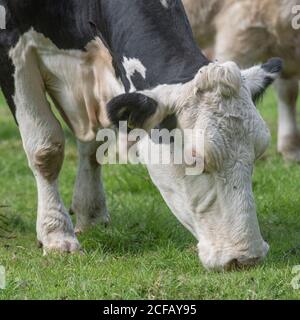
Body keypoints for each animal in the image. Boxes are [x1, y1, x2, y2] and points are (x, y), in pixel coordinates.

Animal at [0, 0, 282, 270]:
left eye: (257, 154)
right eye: (195, 160)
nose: (246, 257)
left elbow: (95, 146)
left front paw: (91, 214)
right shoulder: (14, 47)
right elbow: (45, 148)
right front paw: (56, 235)